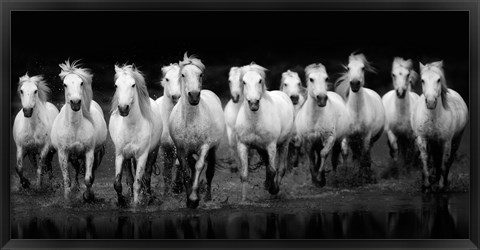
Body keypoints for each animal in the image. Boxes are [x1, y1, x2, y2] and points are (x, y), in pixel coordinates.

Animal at [51, 60, 108, 201]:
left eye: (81, 83)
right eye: (64, 84)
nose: (76, 103)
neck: (74, 127)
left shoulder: (89, 152)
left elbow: (88, 179)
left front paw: (88, 196)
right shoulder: (63, 154)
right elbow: (67, 180)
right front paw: (68, 199)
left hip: (96, 154)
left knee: (91, 175)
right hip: (74, 156)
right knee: (76, 172)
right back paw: (75, 189)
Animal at [109, 64, 163, 205]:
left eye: (133, 85)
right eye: (116, 85)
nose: (123, 108)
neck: (132, 126)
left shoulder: (142, 156)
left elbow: (138, 183)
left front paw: (136, 204)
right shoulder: (120, 155)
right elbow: (118, 183)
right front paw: (121, 201)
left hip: (153, 152)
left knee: (147, 176)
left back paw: (148, 196)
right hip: (128, 157)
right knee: (129, 177)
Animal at [169, 53, 225, 209]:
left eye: (200, 74)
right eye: (183, 75)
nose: (194, 96)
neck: (190, 120)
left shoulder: (205, 146)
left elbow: (200, 166)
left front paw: (194, 198)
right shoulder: (181, 148)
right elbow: (186, 171)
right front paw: (189, 200)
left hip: (213, 149)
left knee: (209, 171)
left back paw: (207, 197)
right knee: (192, 167)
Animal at [234, 62, 294, 201]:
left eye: (260, 80)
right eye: (244, 82)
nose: (253, 103)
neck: (254, 121)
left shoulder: (271, 145)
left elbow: (273, 170)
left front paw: (273, 189)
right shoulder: (243, 145)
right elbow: (244, 174)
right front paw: (243, 199)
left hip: (284, 143)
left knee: (280, 169)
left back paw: (275, 189)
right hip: (260, 148)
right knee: (267, 164)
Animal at [410, 61, 466, 191]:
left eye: (438, 79)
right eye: (422, 80)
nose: (431, 102)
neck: (433, 117)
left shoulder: (446, 142)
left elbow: (444, 164)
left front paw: (441, 186)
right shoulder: (423, 139)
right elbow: (424, 160)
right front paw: (426, 186)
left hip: (456, 141)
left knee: (449, 160)